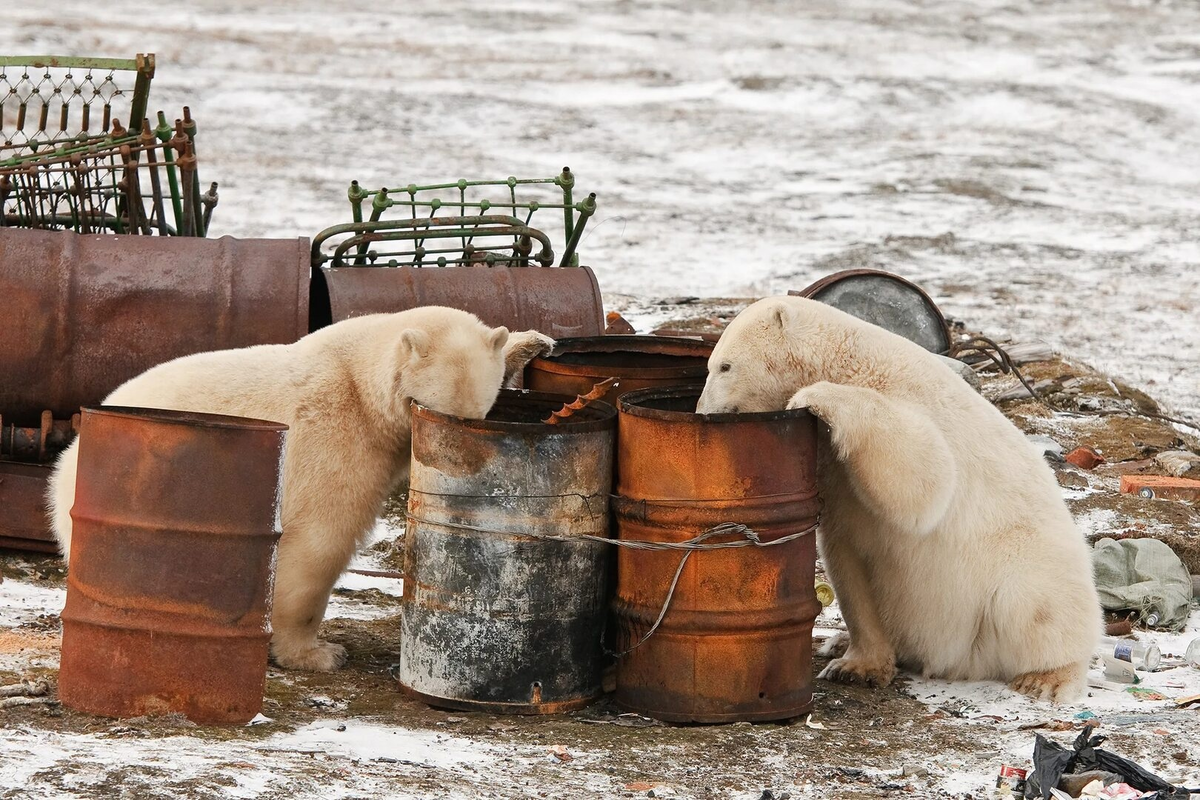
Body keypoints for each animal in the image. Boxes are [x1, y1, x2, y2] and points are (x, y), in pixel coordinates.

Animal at [46, 309, 552, 671]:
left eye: (478, 413)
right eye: (433, 408)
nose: (463, 456)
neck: (359, 382)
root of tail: (64, 470)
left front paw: (531, 342)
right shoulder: (338, 442)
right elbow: (319, 544)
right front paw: (318, 654)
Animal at [700, 296, 1099, 700]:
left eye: (725, 366)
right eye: (711, 365)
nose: (703, 412)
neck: (849, 361)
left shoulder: (910, 402)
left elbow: (927, 476)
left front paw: (813, 395)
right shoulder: (836, 482)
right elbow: (849, 564)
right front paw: (854, 666)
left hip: (1025, 569)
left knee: (1033, 608)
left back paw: (1046, 678)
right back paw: (837, 642)